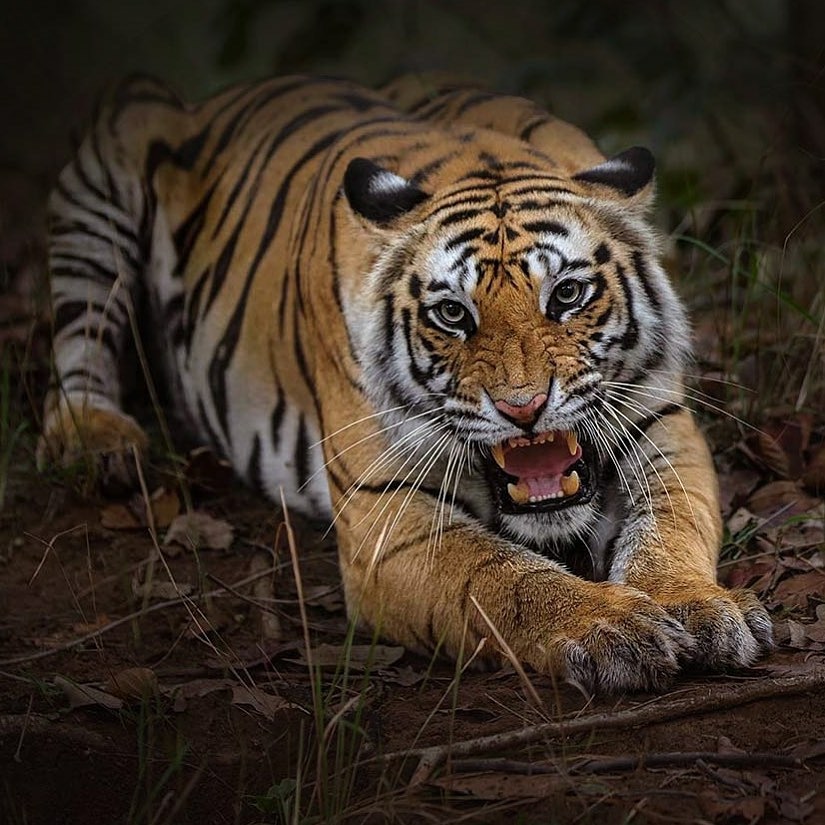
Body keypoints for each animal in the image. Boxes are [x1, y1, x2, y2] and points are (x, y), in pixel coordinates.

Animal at [37, 71, 772, 692]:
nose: (524, 409)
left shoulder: (662, 422)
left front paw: (697, 605)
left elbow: (672, 523)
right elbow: (501, 576)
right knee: (77, 341)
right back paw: (102, 440)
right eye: (452, 313)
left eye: (565, 295)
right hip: (112, 157)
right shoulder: (387, 511)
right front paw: (611, 625)